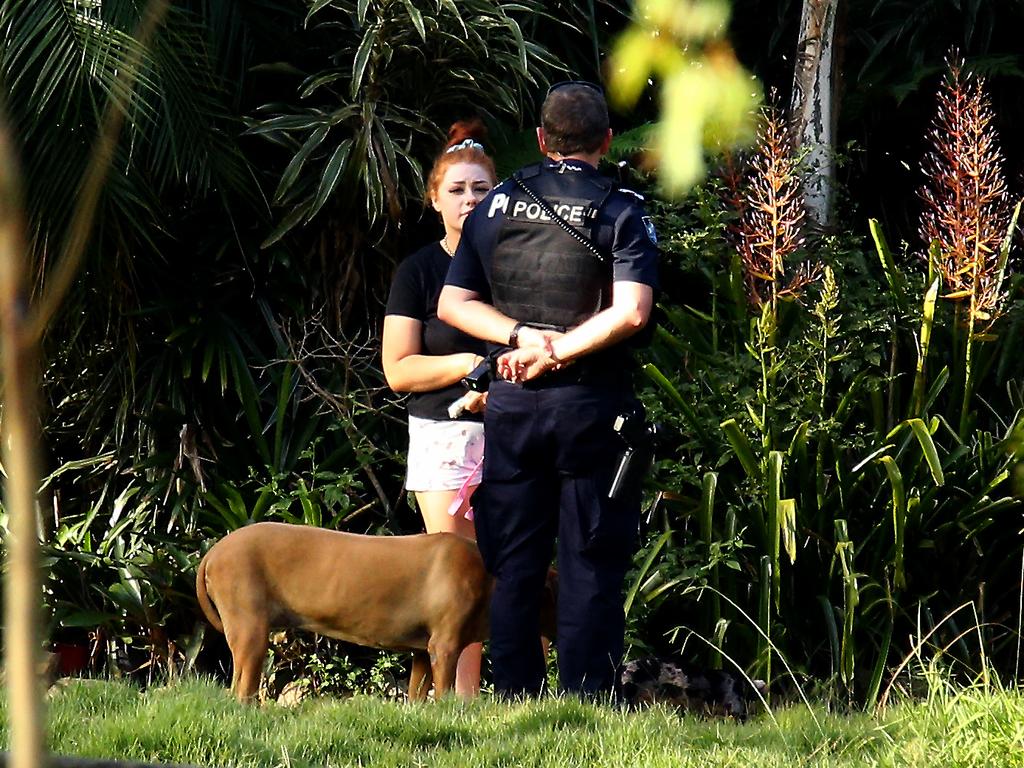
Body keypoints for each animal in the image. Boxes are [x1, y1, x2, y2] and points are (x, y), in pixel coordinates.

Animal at [194, 524, 557, 704]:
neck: (488, 576)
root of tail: (214, 552)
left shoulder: (423, 650)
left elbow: (417, 691)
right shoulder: (444, 645)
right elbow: (444, 690)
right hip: (250, 629)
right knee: (242, 688)